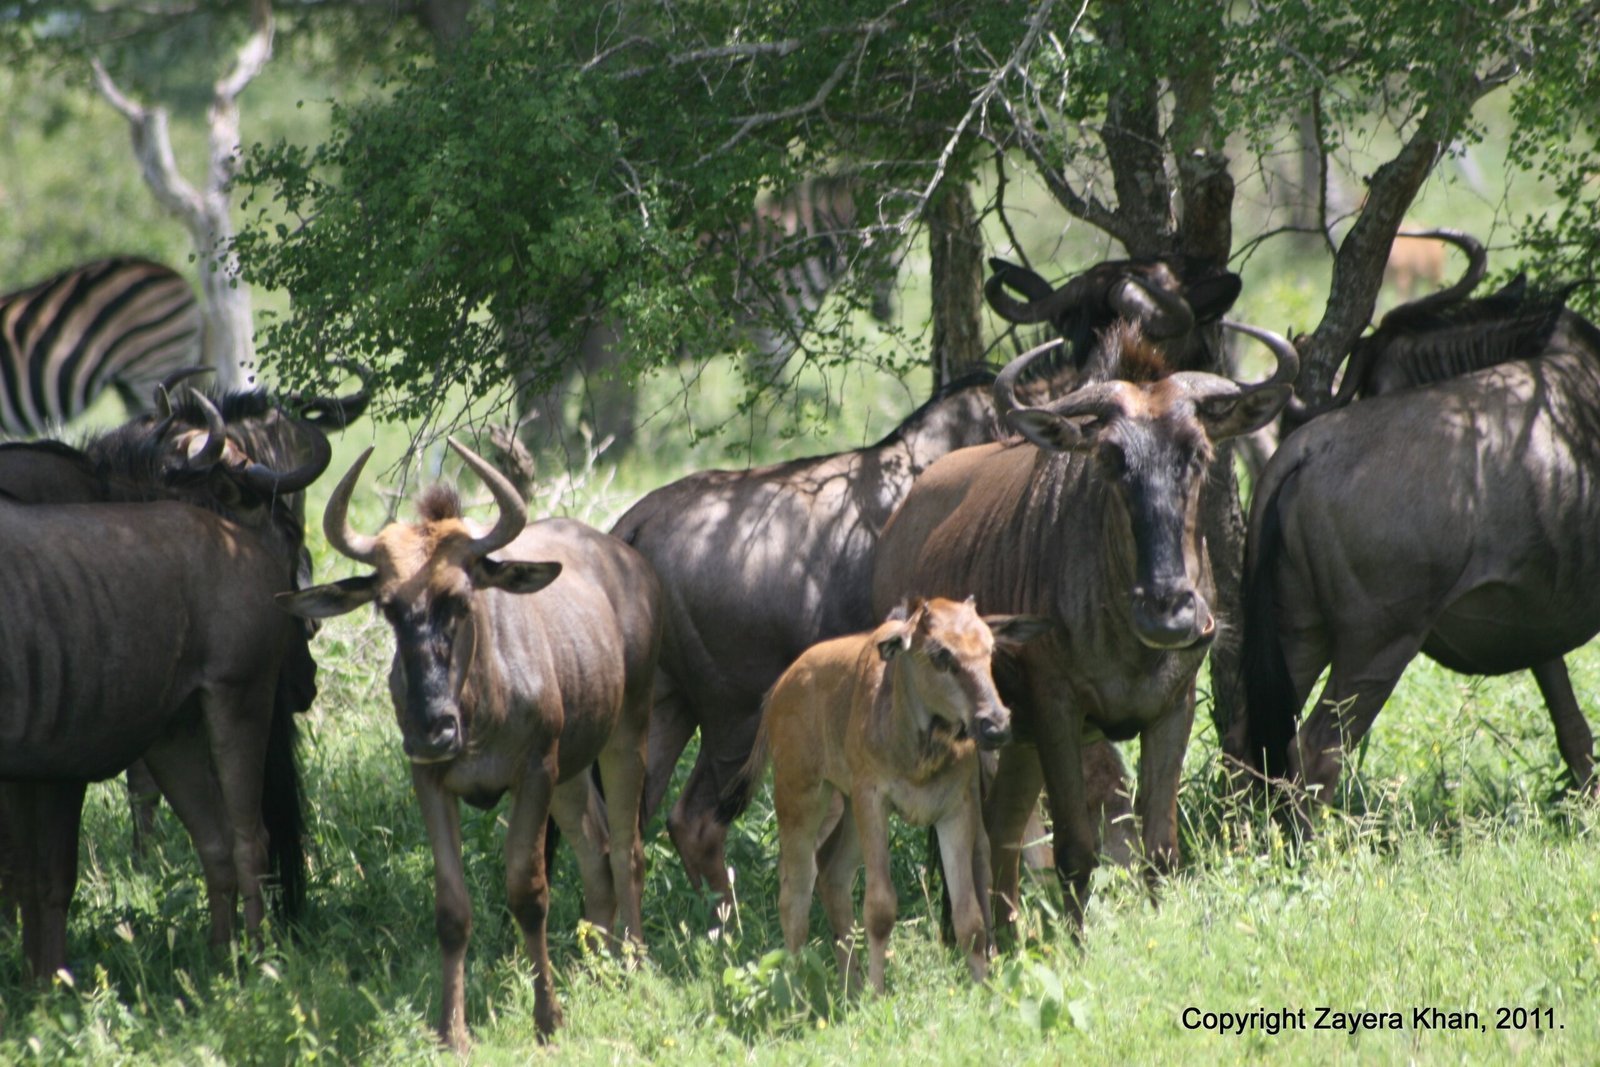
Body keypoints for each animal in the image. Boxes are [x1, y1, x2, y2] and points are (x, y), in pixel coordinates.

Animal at [278, 440, 662, 1050]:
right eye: (387, 606)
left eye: (459, 599)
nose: (432, 730)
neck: (480, 704)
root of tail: (631, 563)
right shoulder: (432, 781)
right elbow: (452, 910)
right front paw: (451, 1030)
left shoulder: (534, 773)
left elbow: (529, 892)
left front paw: (547, 1019)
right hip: (574, 771)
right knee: (596, 847)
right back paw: (597, 967)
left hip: (629, 731)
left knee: (628, 849)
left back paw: (633, 966)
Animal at [742, 597, 1051, 993]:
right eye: (940, 654)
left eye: (989, 649)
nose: (994, 724)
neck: (918, 749)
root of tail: (777, 692)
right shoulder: (873, 799)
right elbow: (880, 909)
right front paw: (878, 992)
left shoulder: (954, 810)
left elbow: (968, 916)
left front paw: (983, 987)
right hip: (802, 797)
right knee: (794, 895)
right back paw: (797, 992)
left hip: (847, 809)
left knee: (832, 874)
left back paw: (849, 986)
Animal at [872, 320, 1297, 930]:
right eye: (1111, 457)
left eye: (1196, 451)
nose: (1170, 611)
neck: (1129, 640)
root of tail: (895, 529)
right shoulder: (1059, 712)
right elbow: (1075, 849)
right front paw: (1078, 942)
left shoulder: (1173, 708)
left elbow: (1160, 848)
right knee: (966, 839)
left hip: (1014, 738)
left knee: (1000, 829)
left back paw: (1009, 936)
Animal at [1232, 285, 1600, 812]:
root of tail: (1305, 448)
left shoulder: (1538, 624)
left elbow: (1572, 728)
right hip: (1377, 649)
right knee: (1316, 750)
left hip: (1297, 634)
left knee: (1247, 740)